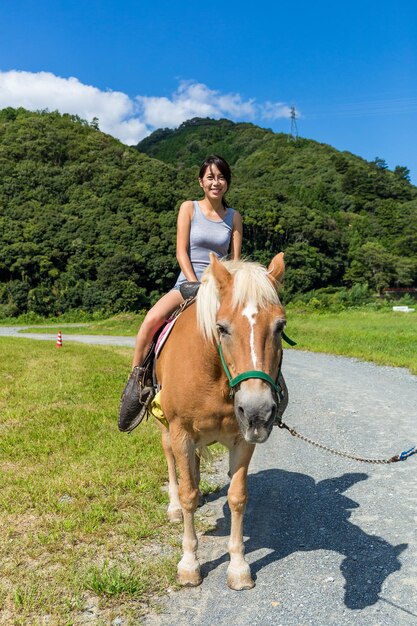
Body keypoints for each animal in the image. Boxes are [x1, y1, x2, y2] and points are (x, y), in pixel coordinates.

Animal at [156, 251, 286, 588]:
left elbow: (237, 496)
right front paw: (189, 564)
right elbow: (187, 494)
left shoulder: (243, 438)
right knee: (171, 462)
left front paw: (238, 567)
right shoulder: (181, 432)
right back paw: (173, 507)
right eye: (223, 328)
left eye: (280, 326)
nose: (257, 411)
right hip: (165, 428)